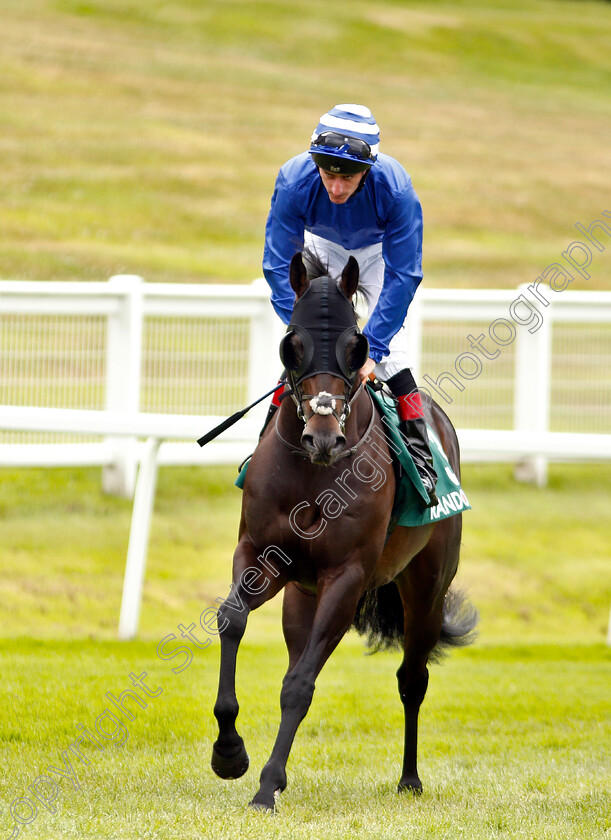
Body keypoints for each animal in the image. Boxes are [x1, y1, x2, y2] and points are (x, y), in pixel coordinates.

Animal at [210, 253, 478, 812]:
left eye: (357, 348)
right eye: (292, 344)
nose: (323, 437)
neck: (313, 474)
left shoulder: (347, 576)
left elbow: (299, 685)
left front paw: (265, 786)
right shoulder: (261, 555)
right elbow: (231, 620)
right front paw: (229, 752)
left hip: (425, 588)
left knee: (412, 678)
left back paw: (409, 779)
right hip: (301, 595)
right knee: (299, 650)